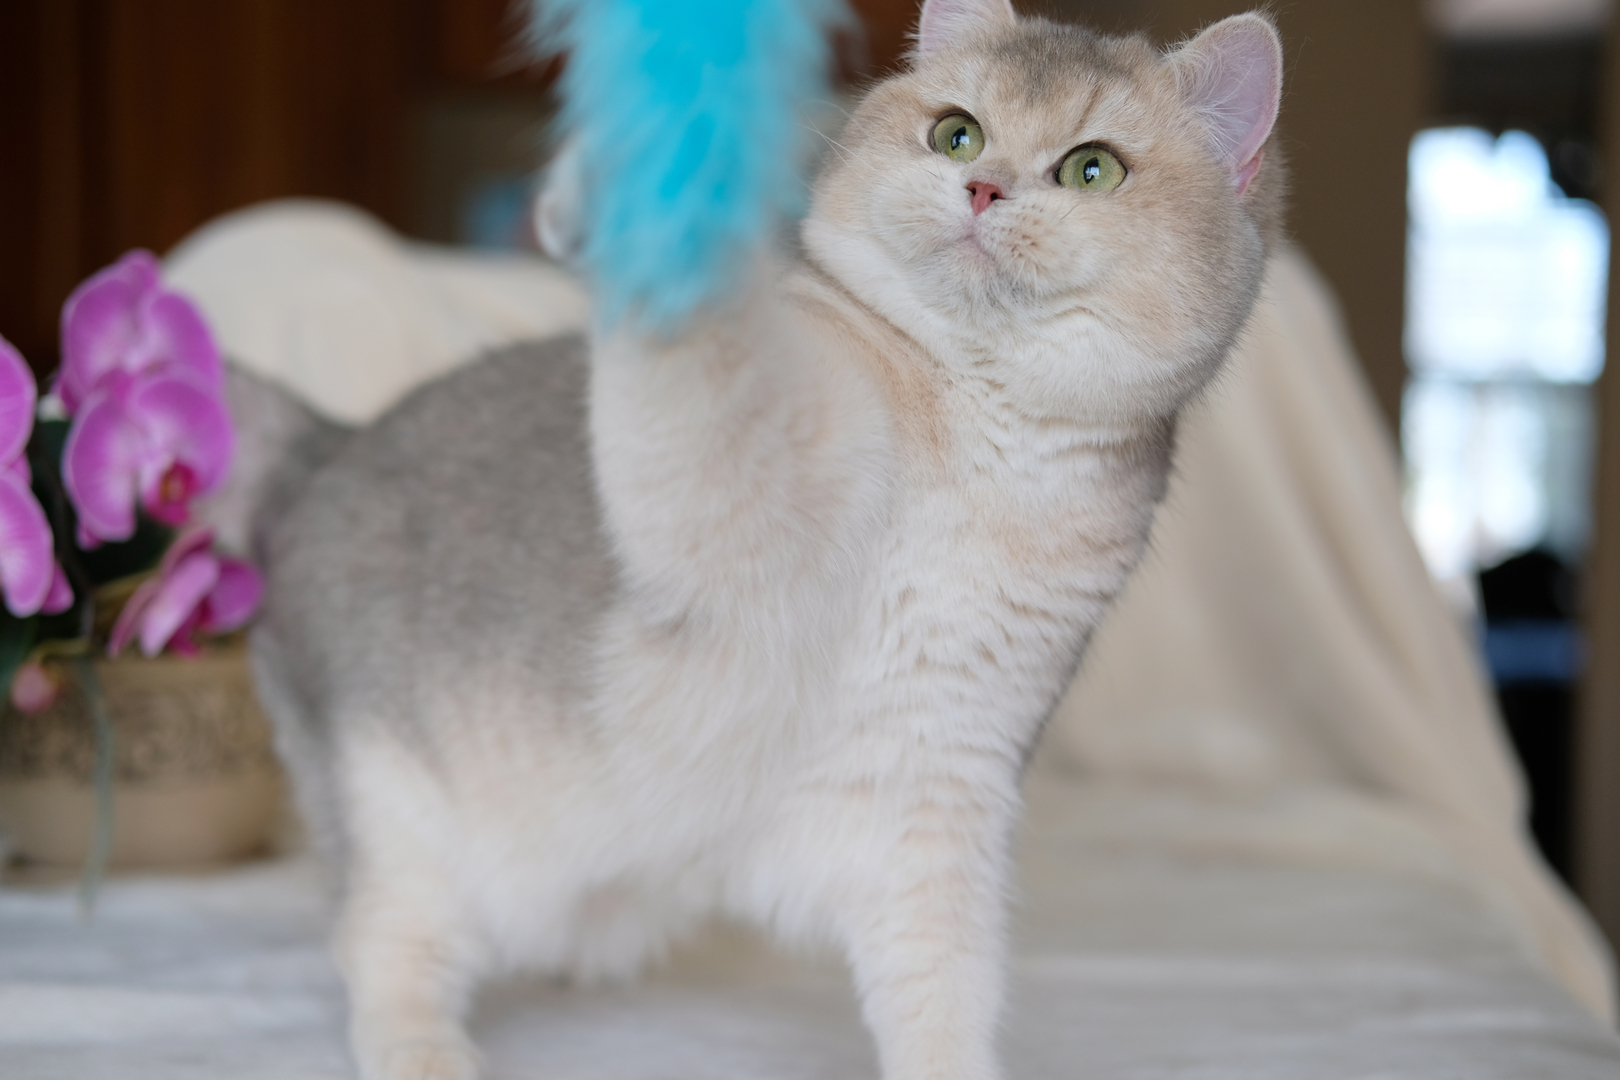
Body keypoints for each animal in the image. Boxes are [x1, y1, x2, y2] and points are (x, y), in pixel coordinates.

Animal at [239, 4, 1283, 1075]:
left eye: (1092, 169)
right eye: (957, 134)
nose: (983, 187)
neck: (984, 434)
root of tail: (328, 444)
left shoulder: (940, 784)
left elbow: (943, 987)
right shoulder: (718, 492)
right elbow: (700, 354)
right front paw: (648, 171)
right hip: (394, 811)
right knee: (382, 949)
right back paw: (427, 1051)